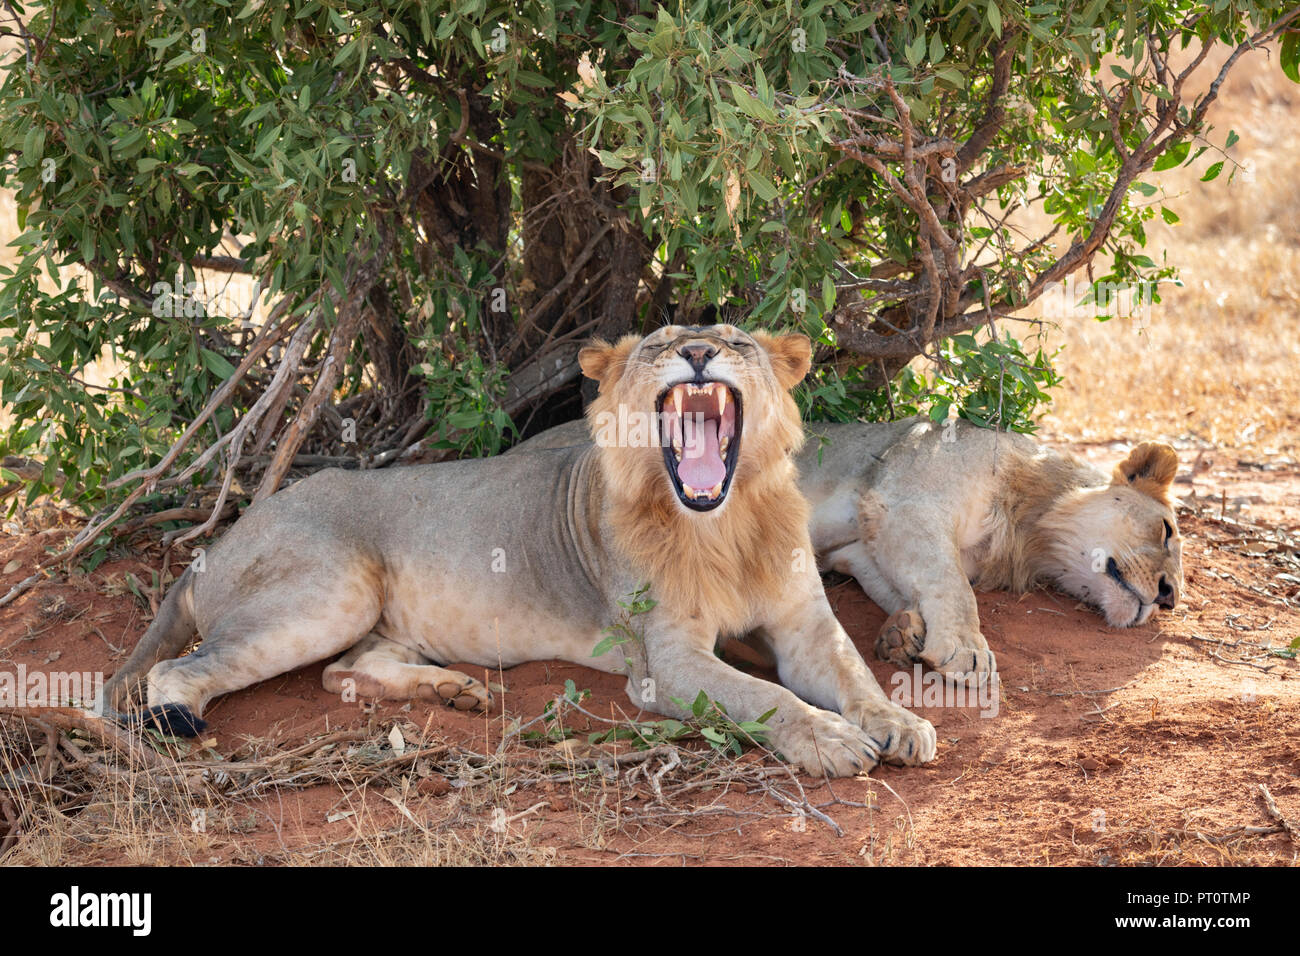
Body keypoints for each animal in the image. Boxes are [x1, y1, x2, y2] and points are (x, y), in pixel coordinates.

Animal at [102, 325, 936, 777]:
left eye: (734, 342)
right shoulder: (664, 662)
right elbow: (766, 697)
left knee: (346, 672)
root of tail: (218, 542)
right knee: (184, 670)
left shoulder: (803, 623)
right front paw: (831, 739)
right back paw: (177, 723)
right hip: (330, 593)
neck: (724, 526)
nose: (699, 352)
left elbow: (853, 672)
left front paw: (897, 722)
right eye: (660, 345)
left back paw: (456, 693)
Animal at [513, 415, 1184, 685]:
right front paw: (965, 652)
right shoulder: (905, 502)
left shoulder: (864, 546)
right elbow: (953, 589)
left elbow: (911, 587)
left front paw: (903, 633)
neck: (1030, 524)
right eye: (1167, 532)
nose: (1169, 599)